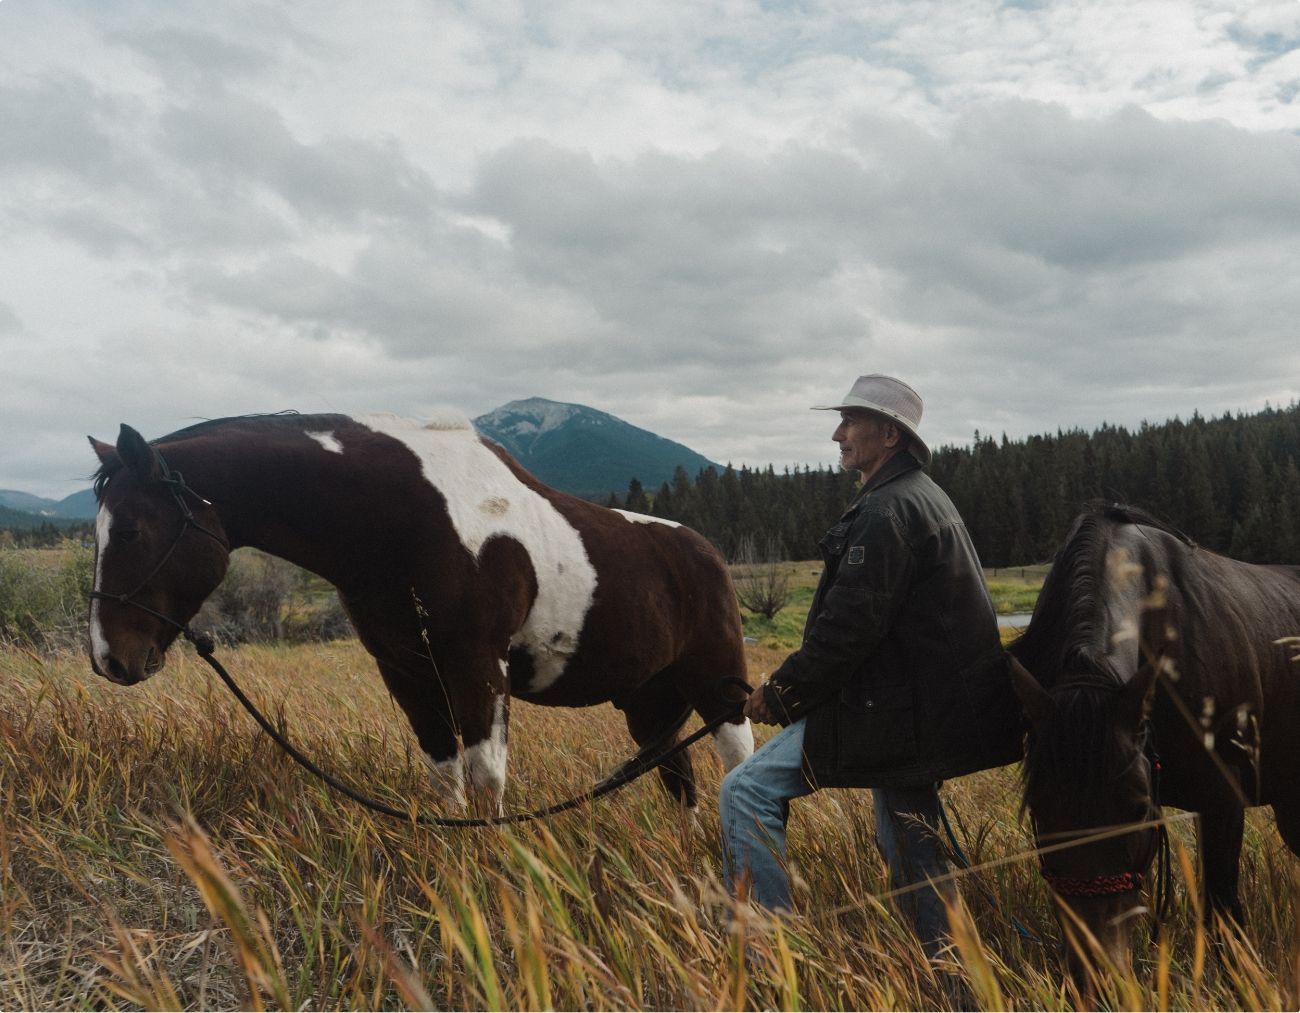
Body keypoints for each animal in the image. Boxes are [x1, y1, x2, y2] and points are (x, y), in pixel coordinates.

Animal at [87, 411, 754, 813]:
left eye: (130, 531)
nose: (108, 659)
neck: (405, 517)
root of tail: (706, 552)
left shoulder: (478, 666)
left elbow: (487, 776)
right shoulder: (408, 671)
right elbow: (444, 773)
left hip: (719, 687)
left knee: (735, 762)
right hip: (648, 700)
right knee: (677, 777)